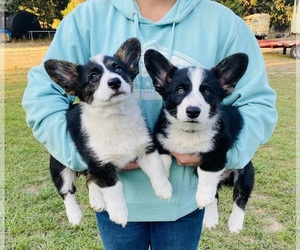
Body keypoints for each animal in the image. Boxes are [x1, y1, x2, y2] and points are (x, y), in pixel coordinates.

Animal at [43, 38, 172, 228]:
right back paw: (74, 215)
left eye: (118, 69)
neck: (115, 116)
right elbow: (113, 188)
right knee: (66, 190)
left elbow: (157, 168)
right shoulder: (100, 165)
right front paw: (119, 214)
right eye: (93, 77)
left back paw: (96, 200)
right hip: (60, 165)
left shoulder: (145, 149)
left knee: (90, 180)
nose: (115, 82)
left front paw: (164, 188)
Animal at [144, 49, 254, 233]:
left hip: (246, 170)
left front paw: (202, 197)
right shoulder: (160, 142)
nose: (193, 111)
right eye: (180, 90)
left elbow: (207, 174)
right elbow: (162, 162)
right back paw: (210, 217)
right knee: (216, 194)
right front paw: (163, 186)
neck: (189, 130)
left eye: (207, 92)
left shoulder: (217, 152)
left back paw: (235, 222)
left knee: (240, 195)